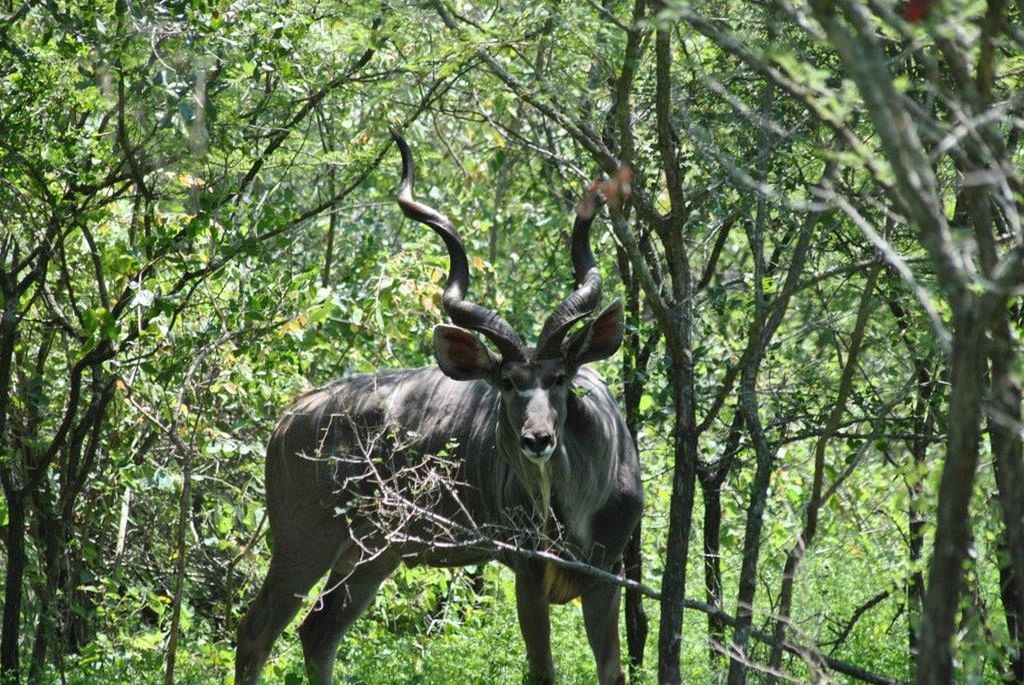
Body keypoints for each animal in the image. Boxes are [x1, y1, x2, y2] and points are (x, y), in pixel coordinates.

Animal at [235, 131, 643, 679]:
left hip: (373, 555)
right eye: (507, 382)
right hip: (304, 542)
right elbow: (542, 669)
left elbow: (612, 670)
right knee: (256, 631)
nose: (537, 440)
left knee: (317, 632)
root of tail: (287, 419)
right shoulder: (528, 572)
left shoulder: (607, 574)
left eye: (559, 378)